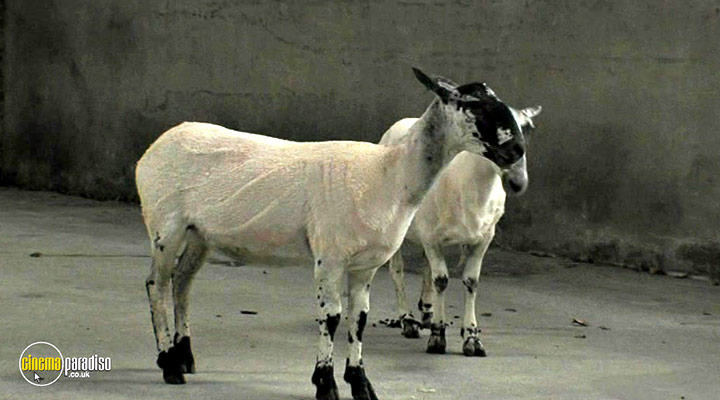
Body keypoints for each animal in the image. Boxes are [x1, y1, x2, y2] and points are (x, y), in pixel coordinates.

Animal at [379, 105, 541, 356]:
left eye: (528, 130)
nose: (517, 181)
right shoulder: (431, 236)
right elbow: (441, 281)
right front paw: (438, 336)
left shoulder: (483, 239)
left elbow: (471, 281)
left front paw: (472, 338)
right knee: (398, 271)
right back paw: (408, 320)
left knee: (425, 267)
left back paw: (427, 312)